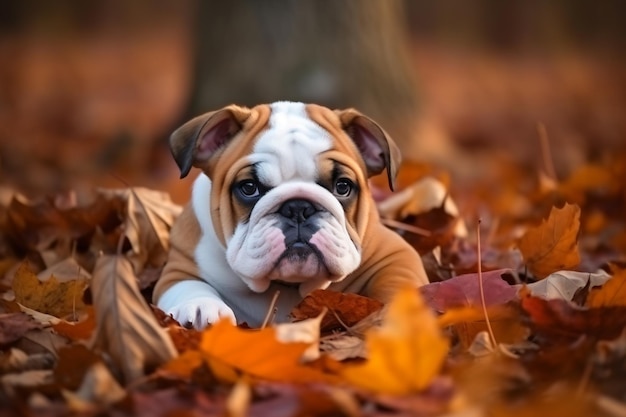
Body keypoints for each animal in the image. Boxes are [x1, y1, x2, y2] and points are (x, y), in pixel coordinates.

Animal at [155, 101, 428, 328]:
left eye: (343, 186)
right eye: (249, 187)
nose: (298, 207)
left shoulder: (394, 254)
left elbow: (397, 283)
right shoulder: (181, 266)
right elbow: (188, 286)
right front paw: (201, 307)